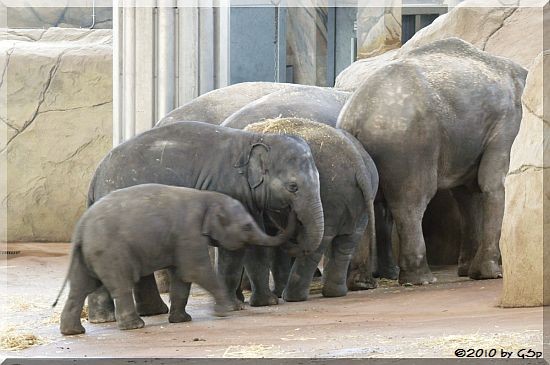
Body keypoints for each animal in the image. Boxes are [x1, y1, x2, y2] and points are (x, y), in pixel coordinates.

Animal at [55, 183, 298, 334]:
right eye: (247, 226)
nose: (292, 204)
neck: (208, 197)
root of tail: (81, 229)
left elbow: (182, 277)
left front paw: (182, 320)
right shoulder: (188, 233)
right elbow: (196, 270)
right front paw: (223, 312)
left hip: (88, 255)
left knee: (79, 289)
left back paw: (72, 332)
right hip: (111, 252)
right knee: (120, 286)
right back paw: (135, 326)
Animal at [85, 121, 324, 322]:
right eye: (293, 187)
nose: (291, 213)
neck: (256, 139)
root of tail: (95, 178)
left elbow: (255, 246)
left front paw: (267, 303)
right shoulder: (229, 191)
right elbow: (234, 249)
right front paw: (234, 307)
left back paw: (125, 316)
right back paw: (113, 318)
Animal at [246, 118, 380, 300]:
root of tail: (357, 161)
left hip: (331, 195)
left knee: (321, 241)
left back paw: (292, 297)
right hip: (362, 196)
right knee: (347, 240)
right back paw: (335, 293)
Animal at [338, 37, 528, 284]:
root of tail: (355, 117)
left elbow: (467, 195)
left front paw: (468, 271)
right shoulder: (508, 122)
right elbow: (493, 183)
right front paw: (489, 274)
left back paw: (361, 282)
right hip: (409, 145)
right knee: (412, 202)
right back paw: (421, 279)